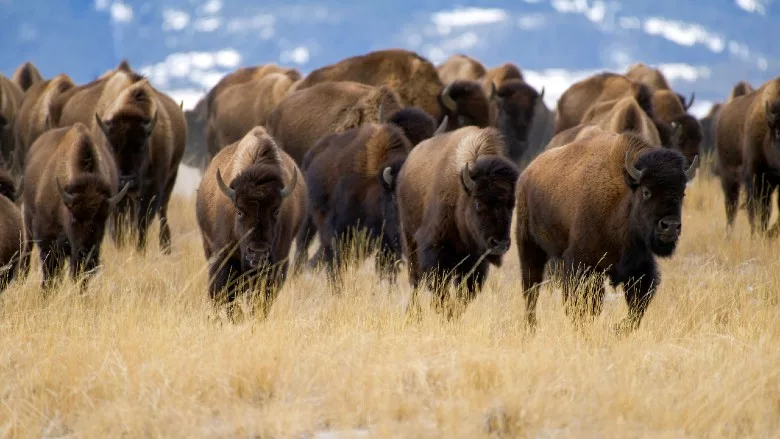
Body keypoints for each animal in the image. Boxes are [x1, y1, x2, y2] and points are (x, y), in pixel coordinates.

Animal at [23, 123, 129, 289]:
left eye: (102, 220)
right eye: (74, 218)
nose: (86, 255)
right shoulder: (47, 240)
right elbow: (49, 273)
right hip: (28, 219)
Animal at [397, 126, 519, 312]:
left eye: (512, 203)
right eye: (478, 202)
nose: (500, 244)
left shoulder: (475, 261)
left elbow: (465, 294)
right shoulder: (435, 251)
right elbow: (439, 288)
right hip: (409, 240)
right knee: (415, 281)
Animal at [515, 131, 697, 331]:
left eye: (682, 193)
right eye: (646, 191)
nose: (670, 225)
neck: (623, 197)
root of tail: (528, 173)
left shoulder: (640, 266)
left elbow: (637, 307)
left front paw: (617, 329)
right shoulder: (581, 263)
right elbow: (582, 305)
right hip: (529, 244)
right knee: (531, 288)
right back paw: (530, 326)